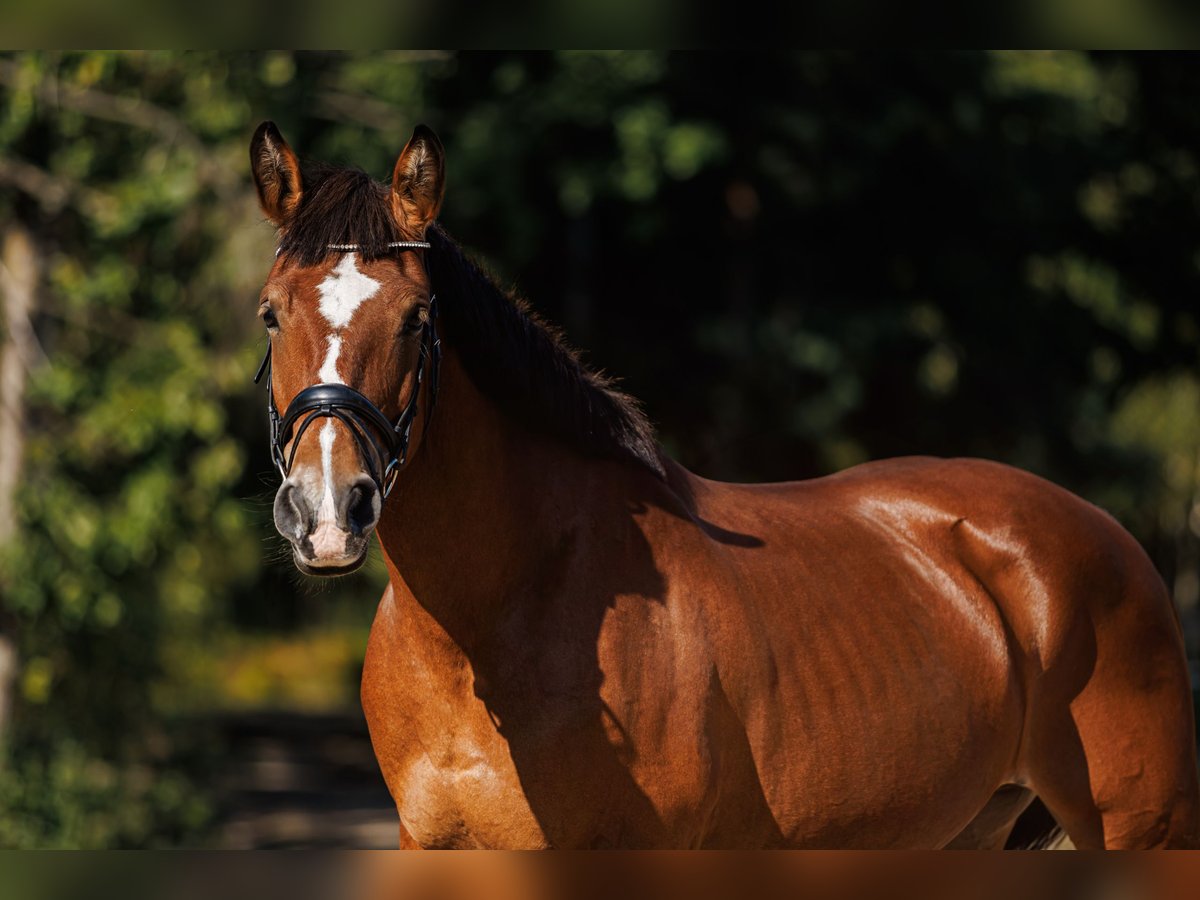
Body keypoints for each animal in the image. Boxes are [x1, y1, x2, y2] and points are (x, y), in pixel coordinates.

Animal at [246, 121, 1200, 854]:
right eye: (270, 313)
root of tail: (1106, 538)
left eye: (417, 318)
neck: (494, 626)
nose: (328, 511)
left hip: (1144, 830)